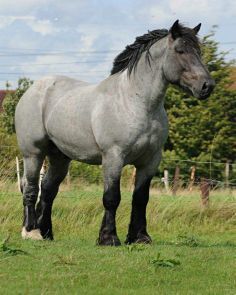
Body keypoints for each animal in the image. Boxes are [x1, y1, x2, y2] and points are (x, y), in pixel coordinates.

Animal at [14, 20, 214, 246]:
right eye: (180, 50)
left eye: (198, 51)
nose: (207, 86)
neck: (136, 102)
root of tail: (33, 89)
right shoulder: (113, 157)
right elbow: (111, 198)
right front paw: (109, 238)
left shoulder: (150, 161)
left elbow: (140, 198)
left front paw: (139, 237)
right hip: (33, 154)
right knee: (30, 188)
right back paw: (31, 231)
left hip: (60, 158)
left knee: (48, 191)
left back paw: (46, 232)